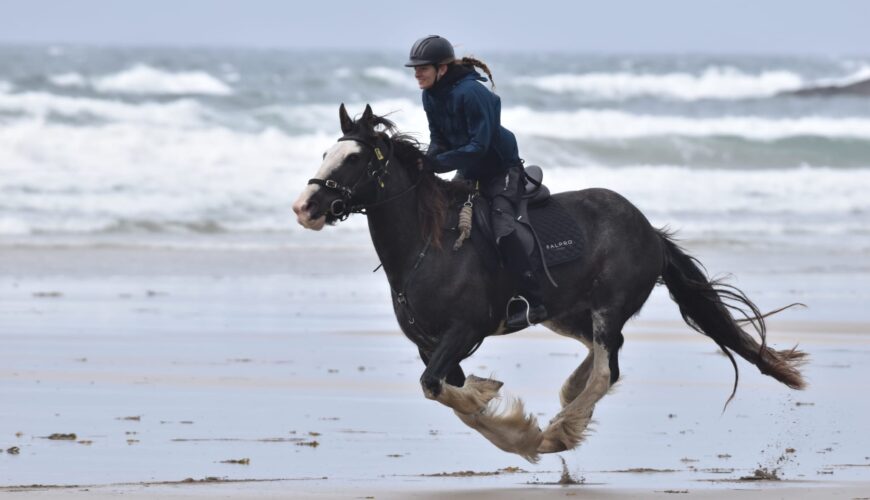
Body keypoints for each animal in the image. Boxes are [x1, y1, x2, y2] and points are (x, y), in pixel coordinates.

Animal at [294, 103, 812, 462]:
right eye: (324, 153)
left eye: (354, 159)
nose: (305, 208)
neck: (429, 245)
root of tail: (651, 232)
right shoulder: (431, 344)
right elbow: (450, 392)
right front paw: (495, 402)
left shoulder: (464, 330)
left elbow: (437, 388)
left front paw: (523, 434)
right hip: (565, 313)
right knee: (602, 358)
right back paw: (568, 403)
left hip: (608, 305)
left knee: (607, 368)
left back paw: (563, 427)